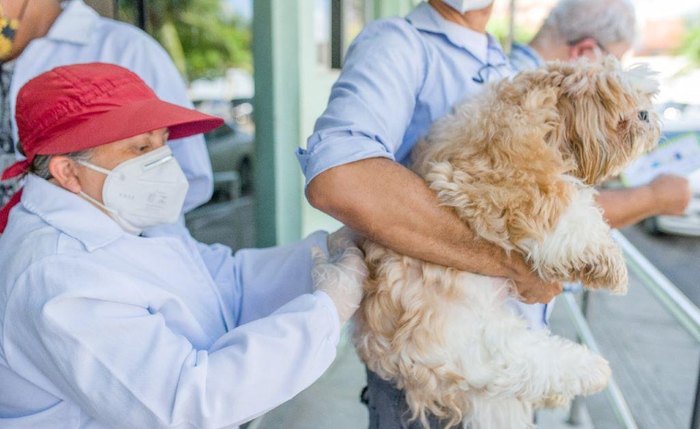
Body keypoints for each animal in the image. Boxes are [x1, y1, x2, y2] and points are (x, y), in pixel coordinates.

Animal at [356, 59, 660, 428]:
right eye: (626, 104)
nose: (647, 115)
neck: (540, 110)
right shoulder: (502, 181)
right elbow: (567, 211)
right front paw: (608, 261)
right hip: (475, 338)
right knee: (528, 362)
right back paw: (592, 370)